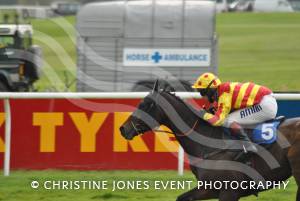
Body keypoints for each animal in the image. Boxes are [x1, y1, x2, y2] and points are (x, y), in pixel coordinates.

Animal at [120, 81, 300, 200]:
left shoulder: (229, 191)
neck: (208, 143)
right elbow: (181, 198)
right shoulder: (208, 189)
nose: (123, 129)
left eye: (145, 105)